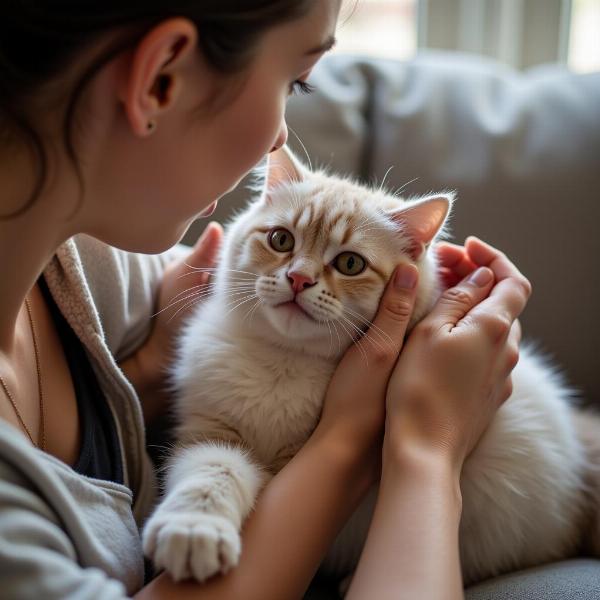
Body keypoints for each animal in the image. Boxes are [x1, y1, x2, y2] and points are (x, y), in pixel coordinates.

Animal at [142, 145, 600, 584]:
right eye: (280, 240)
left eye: (350, 264)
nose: (298, 279)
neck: (287, 362)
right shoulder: (211, 432)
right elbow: (213, 473)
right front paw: (192, 530)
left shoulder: (290, 465)